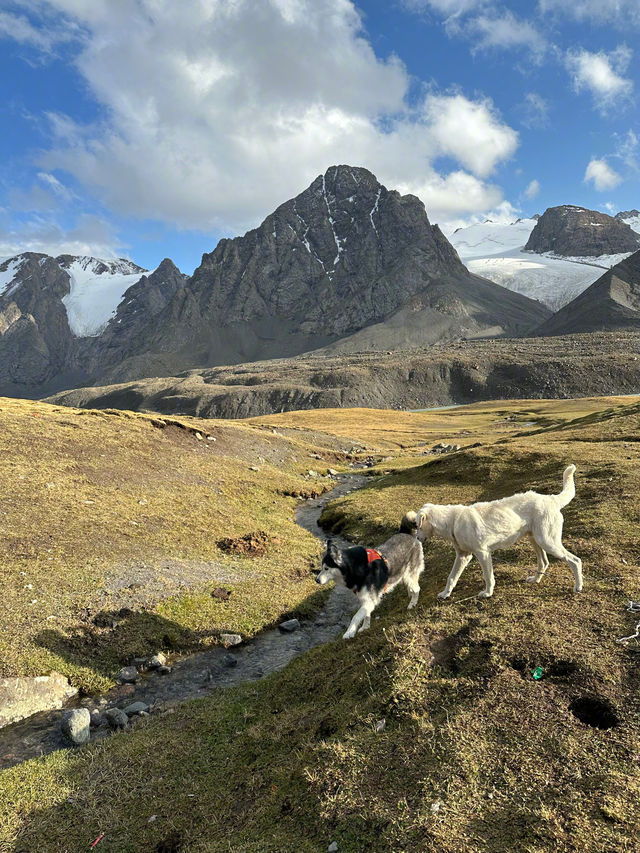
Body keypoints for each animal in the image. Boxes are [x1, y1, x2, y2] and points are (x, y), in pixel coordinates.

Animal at [412, 466, 584, 600]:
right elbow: (451, 577)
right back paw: (536, 579)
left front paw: (488, 593)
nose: (417, 539)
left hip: (547, 541)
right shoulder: (463, 556)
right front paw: (445, 593)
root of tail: (551, 499)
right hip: (535, 539)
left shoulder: (483, 553)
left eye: (417, 526)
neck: (453, 520)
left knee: (575, 560)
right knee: (544, 562)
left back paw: (578, 586)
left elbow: (488, 576)